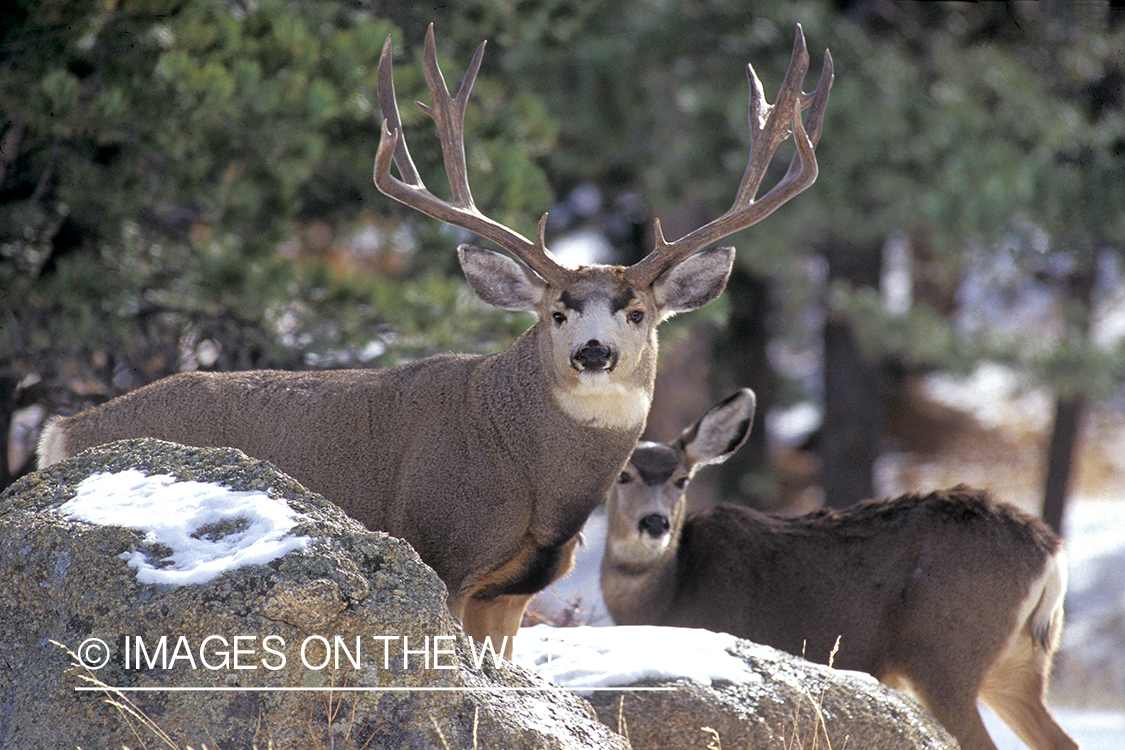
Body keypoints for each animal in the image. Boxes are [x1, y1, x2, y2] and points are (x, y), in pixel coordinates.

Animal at [37, 25, 832, 659]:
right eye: (557, 312)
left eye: (636, 313)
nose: (593, 352)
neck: (533, 478)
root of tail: (63, 430)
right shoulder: (441, 555)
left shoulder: (512, 593)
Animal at [601, 388, 1077, 750]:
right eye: (621, 476)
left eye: (681, 479)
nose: (655, 523)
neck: (669, 594)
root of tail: (1051, 553)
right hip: (1019, 666)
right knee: (1062, 741)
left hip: (945, 654)